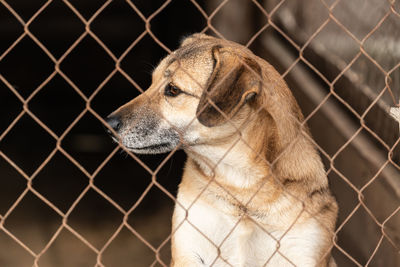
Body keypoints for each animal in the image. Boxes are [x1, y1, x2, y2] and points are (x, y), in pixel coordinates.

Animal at [106, 34, 338, 267]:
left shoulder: (302, 251)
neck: (243, 189)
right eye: (152, 82)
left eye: (173, 90)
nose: (108, 124)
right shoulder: (188, 247)